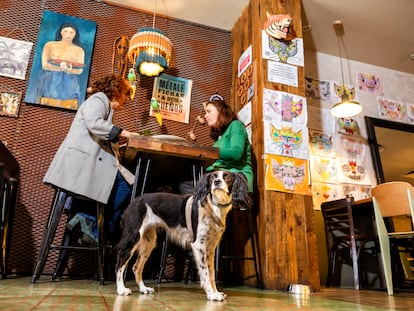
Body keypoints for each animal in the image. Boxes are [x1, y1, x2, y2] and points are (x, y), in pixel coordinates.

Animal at [113, 171, 251, 302]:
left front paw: (216, 292)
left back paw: (143, 289)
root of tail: (134, 202)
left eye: (227, 177)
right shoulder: (199, 245)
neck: (213, 206)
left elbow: (211, 273)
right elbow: (205, 273)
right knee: (119, 263)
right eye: (212, 177)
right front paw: (211, 295)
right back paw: (121, 289)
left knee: (136, 267)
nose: (217, 182)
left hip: (149, 242)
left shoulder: (210, 248)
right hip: (132, 238)